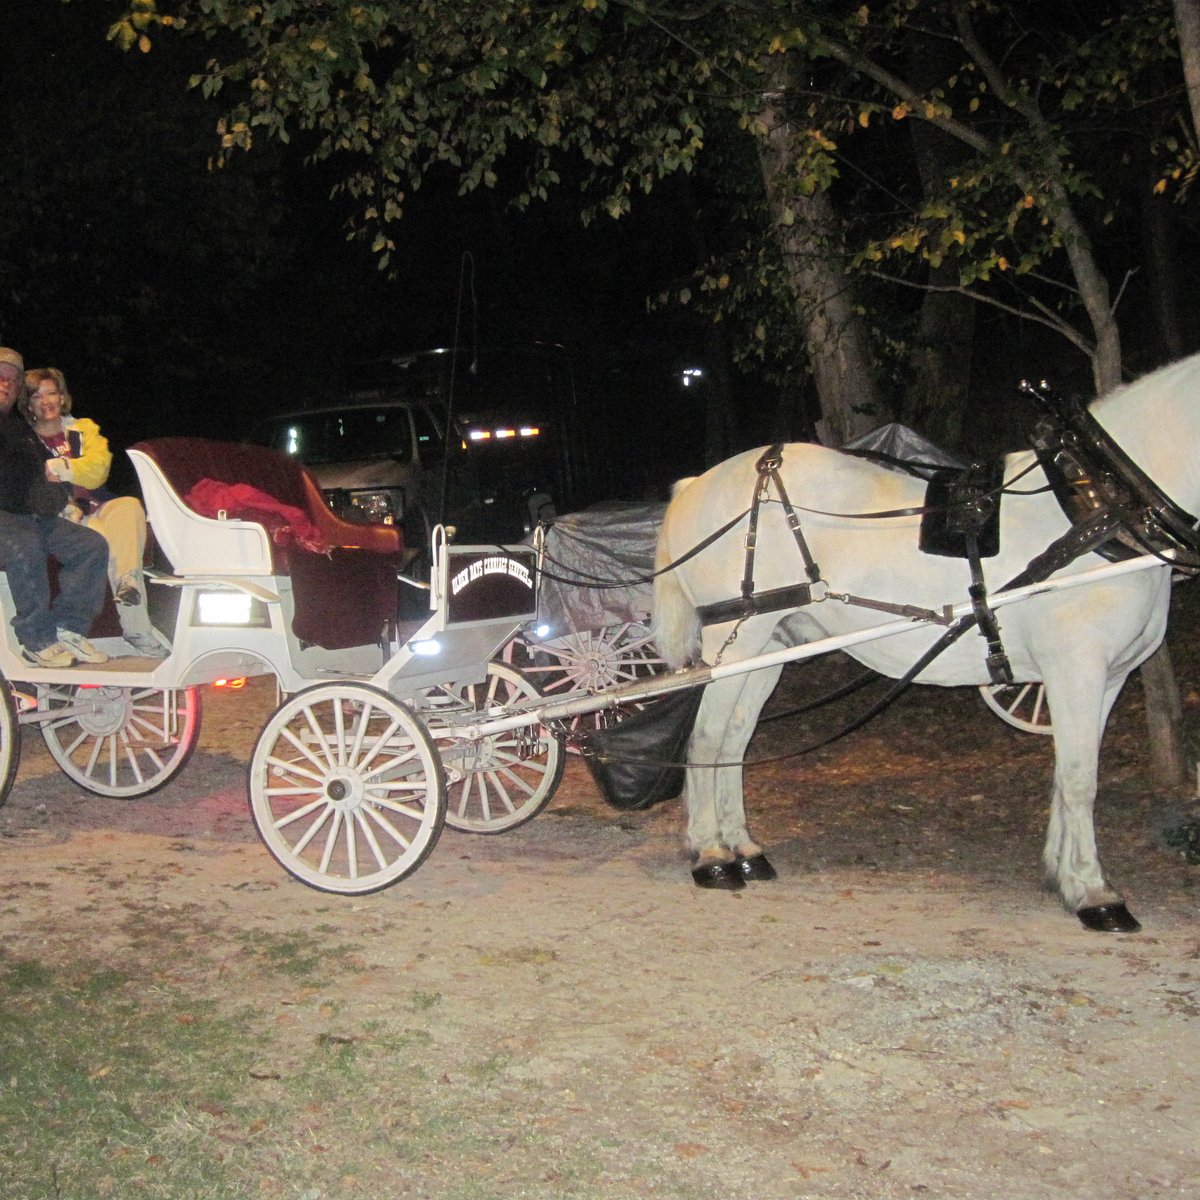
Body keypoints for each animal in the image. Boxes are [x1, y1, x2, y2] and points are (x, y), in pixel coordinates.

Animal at [657, 348, 1200, 926]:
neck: (1100, 509)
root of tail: (696, 484)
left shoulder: (1108, 677)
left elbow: (1068, 772)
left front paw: (1063, 875)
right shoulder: (1077, 669)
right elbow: (1080, 779)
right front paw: (1096, 894)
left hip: (770, 646)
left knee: (734, 740)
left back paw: (744, 848)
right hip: (735, 638)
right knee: (706, 739)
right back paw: (711, 856)